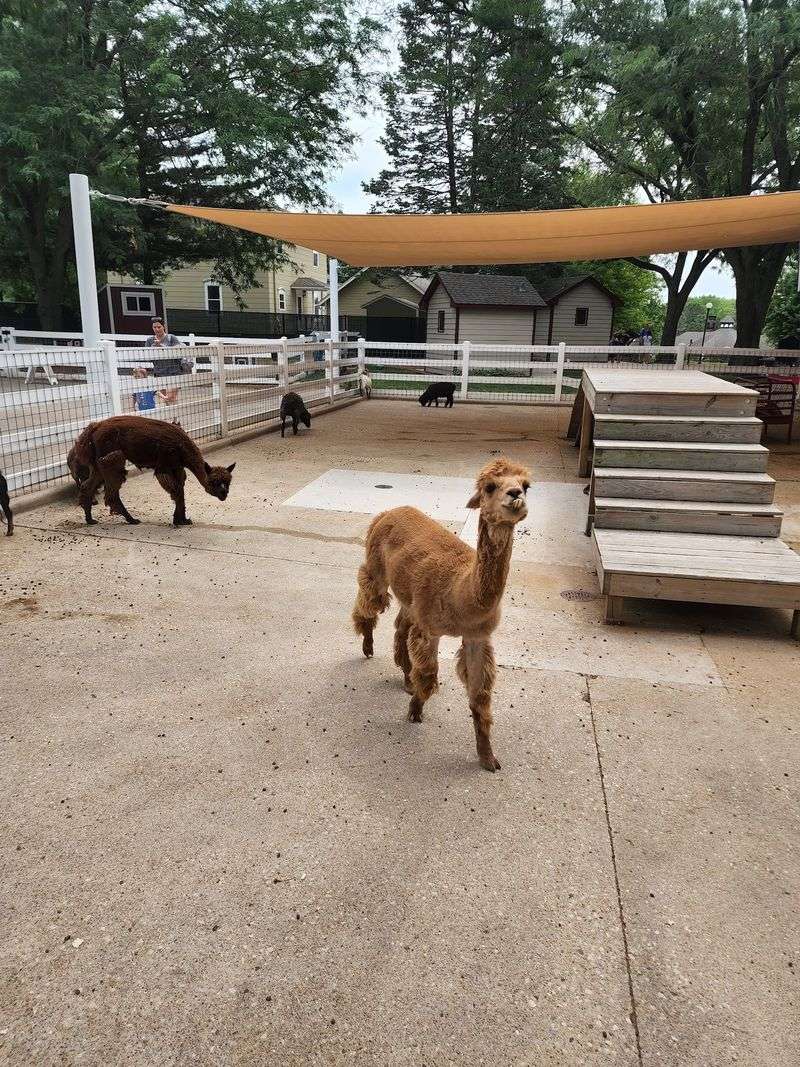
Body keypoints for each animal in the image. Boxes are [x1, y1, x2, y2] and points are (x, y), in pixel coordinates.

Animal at [70, 416, 235, 526]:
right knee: (111, 494)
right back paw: (131, 519)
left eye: (228, 482)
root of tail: (94, 428)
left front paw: (182, 519)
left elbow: (180, 490)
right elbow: (177, 491)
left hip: (97, 463)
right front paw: (179, 520)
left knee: (87, 487)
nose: (224, 494)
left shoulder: (177, 466)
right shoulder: (166, 464)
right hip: (111, 458)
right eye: (213, 482)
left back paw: (90, 519)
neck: (183, 449)